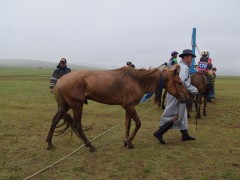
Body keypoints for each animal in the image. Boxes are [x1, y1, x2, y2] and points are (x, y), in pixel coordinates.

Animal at [46, 64, 189, 152]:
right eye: (179, 82)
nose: (187, 97)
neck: (137, 81)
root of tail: (60, 81)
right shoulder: (130, 106)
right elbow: (138, 123)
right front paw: (129, 141)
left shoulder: (128, 107)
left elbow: (127, 124)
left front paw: (126, 142)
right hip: (76, 105)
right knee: (77, 125)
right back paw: (90, 146)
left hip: (65, 106)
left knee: (54, 120)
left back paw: (49, 143)